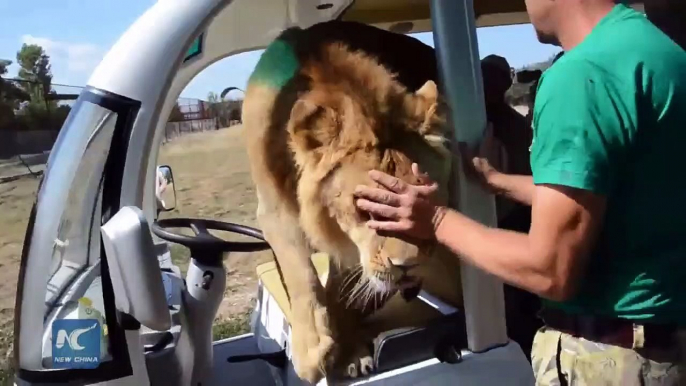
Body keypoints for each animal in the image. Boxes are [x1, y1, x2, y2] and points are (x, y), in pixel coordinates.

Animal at [245, 20, 464, 382]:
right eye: (366, 205)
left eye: (425, 199)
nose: (409, 266)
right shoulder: (273, 209)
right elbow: (299, 272)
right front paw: (313, 349)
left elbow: (342, 285)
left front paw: (347, 349)